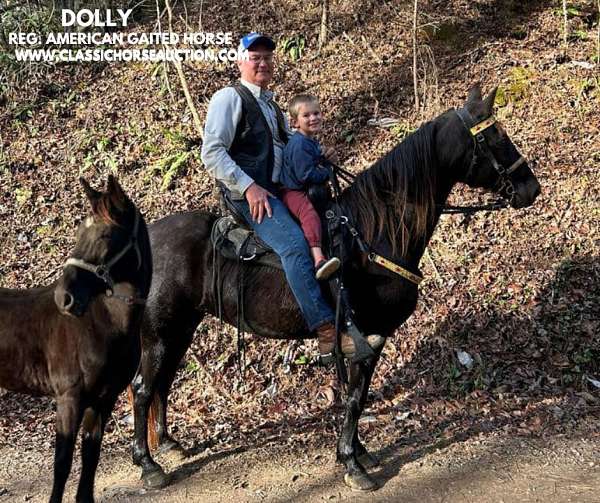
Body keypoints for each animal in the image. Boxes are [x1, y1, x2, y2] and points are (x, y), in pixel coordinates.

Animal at [0, 175, 150, 502]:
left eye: (106, 235)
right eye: (79, 233)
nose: (64, 298)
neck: (102, 323)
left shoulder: (103, 400)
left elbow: (90, 457)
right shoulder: (69, 398)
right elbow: (63, 462)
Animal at [130, 87, 540, 492]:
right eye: (495, 136)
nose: (531, 189)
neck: (373, 233)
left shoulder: (371, 338)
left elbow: (359, 395)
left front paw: (360, 452)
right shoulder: (368, 335)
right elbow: (356, 399)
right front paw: (351, 462)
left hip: (181, 328)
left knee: (162, 383)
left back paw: (168, 443)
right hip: (159, 332)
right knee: (142, 388)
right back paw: (148, 465)